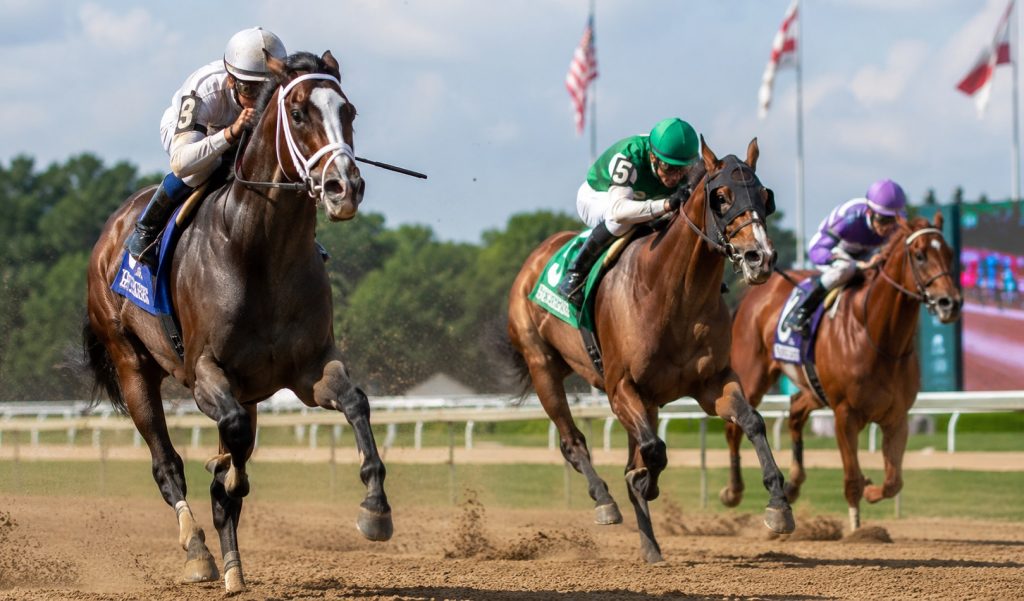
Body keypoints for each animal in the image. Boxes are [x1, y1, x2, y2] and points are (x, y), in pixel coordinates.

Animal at [82, 50, 391, 593]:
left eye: (348, 110)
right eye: (299, 113)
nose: (344, 187)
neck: (260, 251)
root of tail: (110, 232)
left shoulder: (308, 370)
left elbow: (355, 402)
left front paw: (375, 507)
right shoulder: (205, 371)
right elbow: (230, 442)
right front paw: (223, 474)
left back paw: (233, 567)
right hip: (131, 364)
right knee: (167, 466)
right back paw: (199, 552)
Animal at [506, 137, 794, 564]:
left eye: (764, 196)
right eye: (721, 197)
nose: (761, 257)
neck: (674, 294)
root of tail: (535, 257)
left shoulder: (711, 382)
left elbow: (752, 421)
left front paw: (778, 506)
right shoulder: (620, 388)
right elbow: (654, 450)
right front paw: (643, 482)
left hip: (647, 400)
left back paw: (650, 546)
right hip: (542, 365)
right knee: (573, 441)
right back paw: (605, 501)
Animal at [723, 213, 961, 532]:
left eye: (949, 253)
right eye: (920, 255)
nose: (951, 303)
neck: (878, 336)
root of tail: (753, 295)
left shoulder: (897, 416)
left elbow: (893, 481)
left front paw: (872, 490)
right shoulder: (845, 415)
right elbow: (851, 481)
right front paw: (857, 528)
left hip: (813, 387)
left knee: (795, 410)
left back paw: (793, 483)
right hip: (753, 375)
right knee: (735, 427)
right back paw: (733, 490)